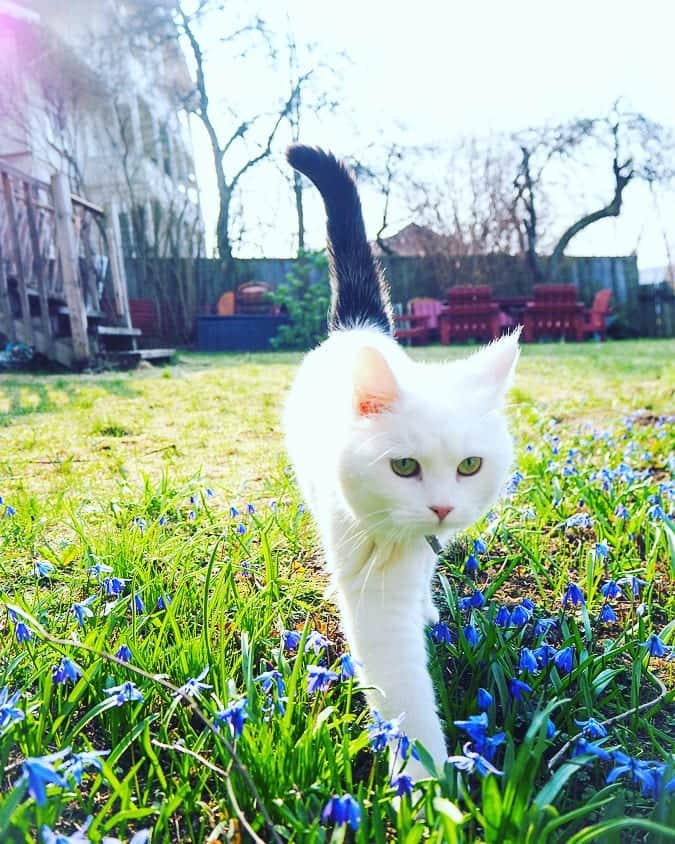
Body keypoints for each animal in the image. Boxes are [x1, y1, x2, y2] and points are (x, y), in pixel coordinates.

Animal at [282, 145, 520, 780]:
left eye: (469, 465)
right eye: (405, 468)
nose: (440, 508)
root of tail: (358, 327)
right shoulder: (371, 583)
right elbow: (404, 691)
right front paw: (427, 783)